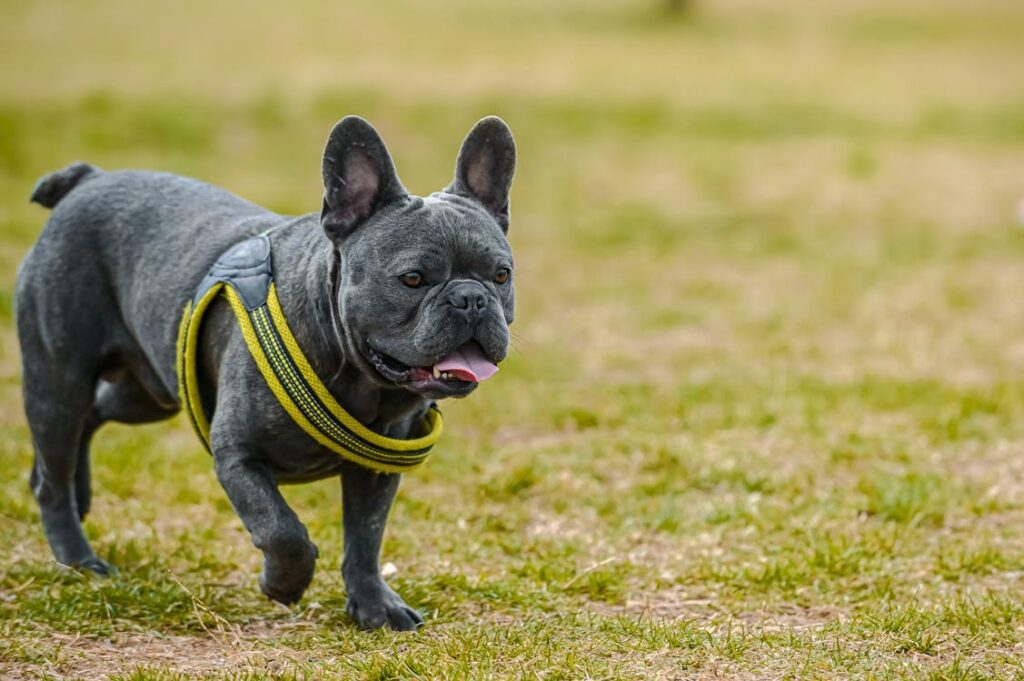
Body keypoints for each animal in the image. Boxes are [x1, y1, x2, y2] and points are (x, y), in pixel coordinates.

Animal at [16, 114, 512, 630]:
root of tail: (87, 180)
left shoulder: (376, 471)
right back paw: (77, 558)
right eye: (412, 279)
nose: (471, 298)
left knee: (91, 418)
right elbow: (282, 530)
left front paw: (375, 607)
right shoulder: (237, 455)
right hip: (59, 380)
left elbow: (365, 540)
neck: (359, 380)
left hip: (148, 393)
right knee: (53, 471)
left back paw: (79, 495)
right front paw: (283, 584)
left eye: (501, 275)